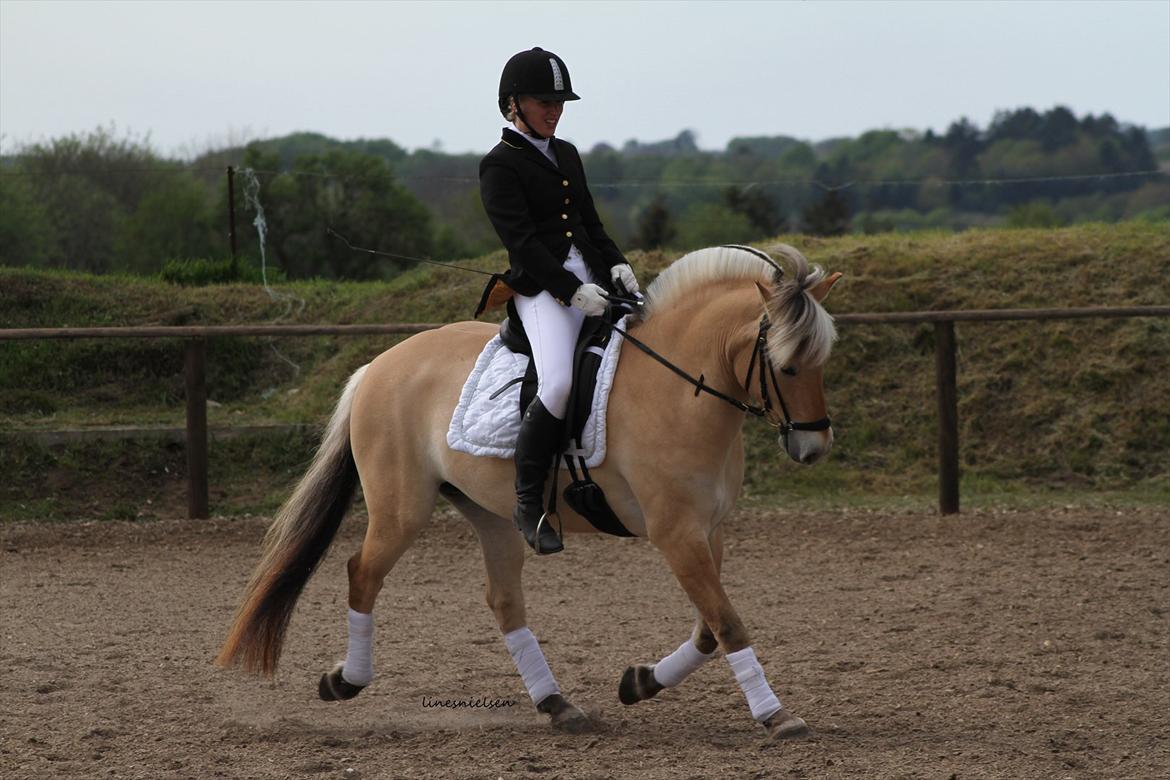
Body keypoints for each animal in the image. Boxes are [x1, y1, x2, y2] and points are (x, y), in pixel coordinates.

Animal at [217, 244, 842, 743]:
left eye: (823, 361)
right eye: (787, 366)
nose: (813, 449)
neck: (681, 388)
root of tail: (377, 364)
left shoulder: (708, 531)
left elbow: (710, 629)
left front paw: (639, 683)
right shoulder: (676, 534)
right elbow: (728, 622)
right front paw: (776, 715)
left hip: (490, 513)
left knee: (503, 599)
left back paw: (557, 704)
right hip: (401, 510)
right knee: (362, 573)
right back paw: (345, 681)